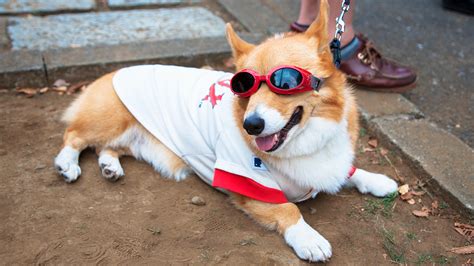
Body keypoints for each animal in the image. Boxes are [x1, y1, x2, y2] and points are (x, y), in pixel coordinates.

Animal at [53, 0, 398, 262]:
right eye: (243, 85)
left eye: (285, 82)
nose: (251, 125)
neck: (306, 140)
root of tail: (113, 72)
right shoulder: (252, 184)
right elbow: (287, 208)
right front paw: (309, 239)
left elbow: (350, 171)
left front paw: (377, 181)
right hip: (109, 120)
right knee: (75, 137)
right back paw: (67, 165)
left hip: (126, 135)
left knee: (107, 148)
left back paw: (110, 167)